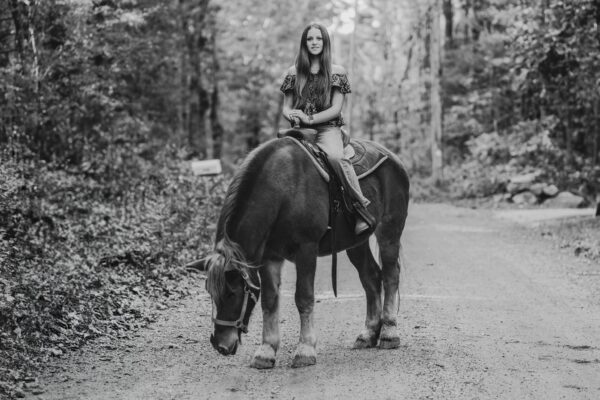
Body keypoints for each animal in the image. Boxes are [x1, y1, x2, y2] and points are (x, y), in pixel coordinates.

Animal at [205, 137, 408, 368]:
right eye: (210, 293)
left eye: (232, 293)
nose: (220, 345)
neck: (282, 191)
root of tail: (394, 158)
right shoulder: (270, 257)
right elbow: (269, 301)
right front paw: (266, 351)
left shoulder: (306, 249)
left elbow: (303, 297)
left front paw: (305, 350)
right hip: (356, 243)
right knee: (371, 277)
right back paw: (368, 334)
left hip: (389, 230)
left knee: (391, 275)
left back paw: (389, 333)